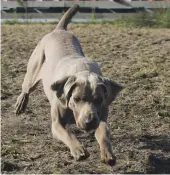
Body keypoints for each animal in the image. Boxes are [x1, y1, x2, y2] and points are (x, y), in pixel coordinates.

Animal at [15, 4, 122, 165]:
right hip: (33, 70)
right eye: (76, 99)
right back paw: (21, 103)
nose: (89, 121)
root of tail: (59, 30)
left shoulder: (101, 117)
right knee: (26, 88)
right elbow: (68, 134)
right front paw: (78, 150)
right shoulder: (57, 124)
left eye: (99, 99)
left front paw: (108, 154)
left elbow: (104, 132)